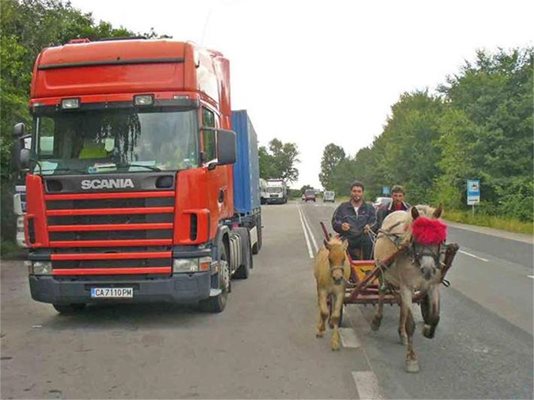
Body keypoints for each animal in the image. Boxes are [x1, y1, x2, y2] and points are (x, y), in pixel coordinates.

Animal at [372, 206, 448, 372]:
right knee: (382, 291)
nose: (428, 270)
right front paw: (411, 359)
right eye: (416, 238)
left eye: (439, 239)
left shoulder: (433, 286)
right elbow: (411, 324)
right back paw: (377, 320)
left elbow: (435, 317)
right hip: (381, 269)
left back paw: (402, 333)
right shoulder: (407, 287)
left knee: (402, 307)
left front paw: (428, 330)